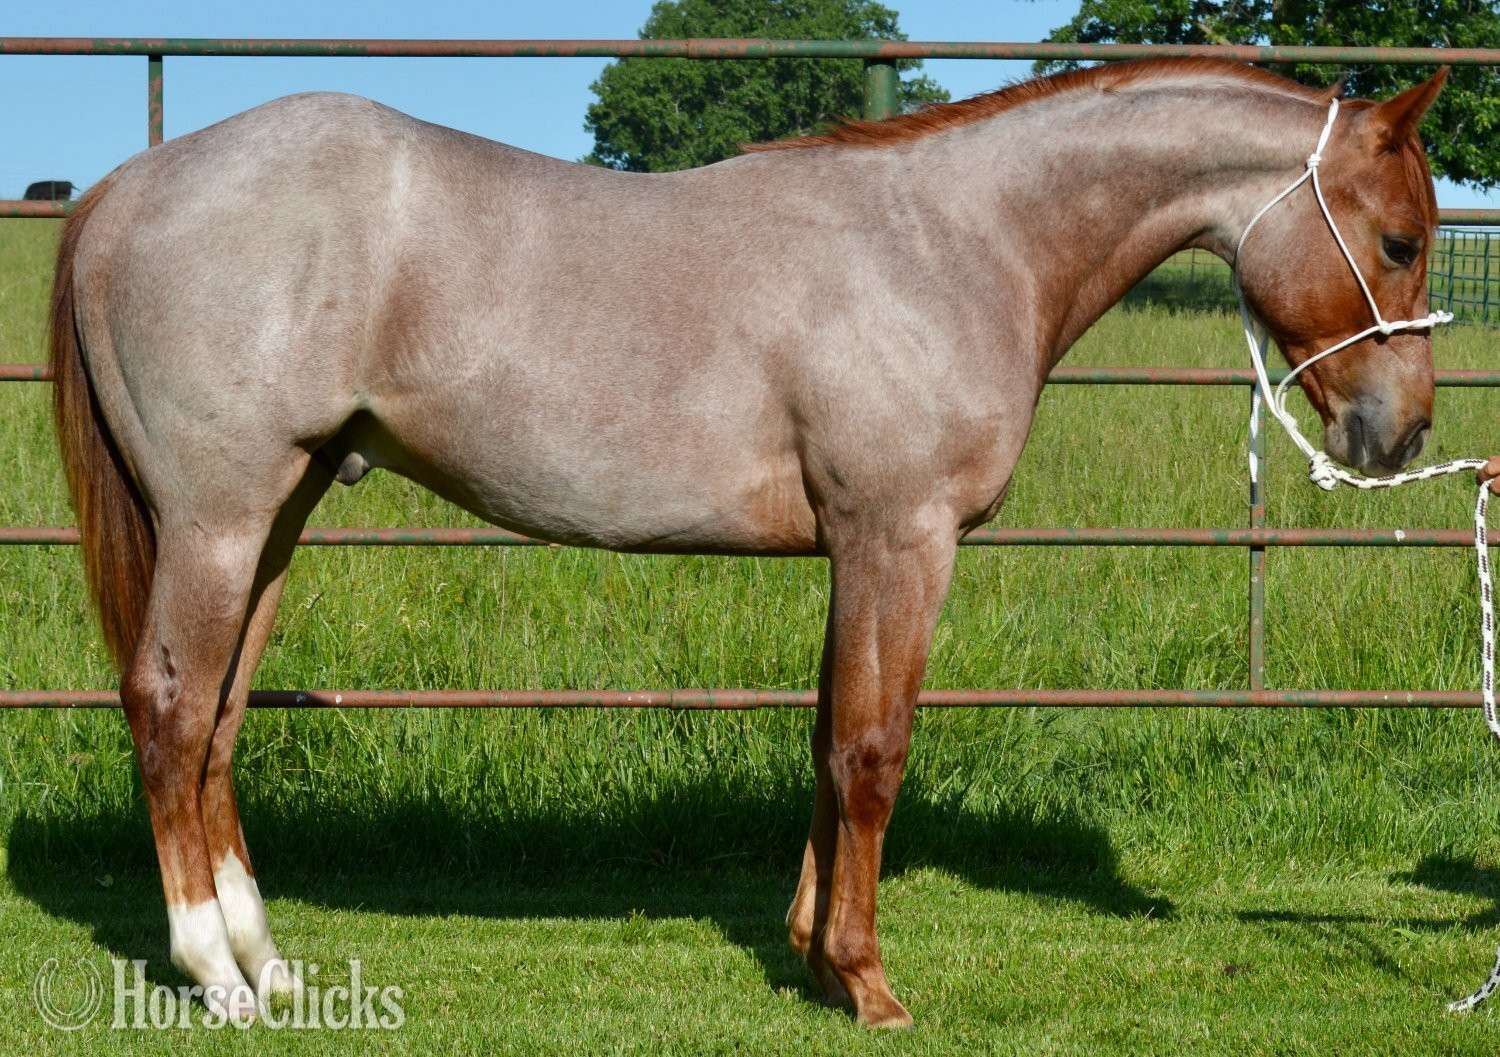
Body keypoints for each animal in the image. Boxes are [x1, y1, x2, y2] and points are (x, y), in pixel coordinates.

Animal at [49, 58, 1448, 1027]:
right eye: (1399, 238)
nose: (1400, 431)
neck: (953, 243)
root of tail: (128, 185)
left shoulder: (855, 551)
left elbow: (829, 743)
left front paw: (814, 958)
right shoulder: (901, 540)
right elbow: (875, 752)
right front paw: (869, 984)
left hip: (277, 517)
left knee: (220, 722)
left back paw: (271, 965)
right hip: (220, 520)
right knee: (170, 709)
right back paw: (215, 977)